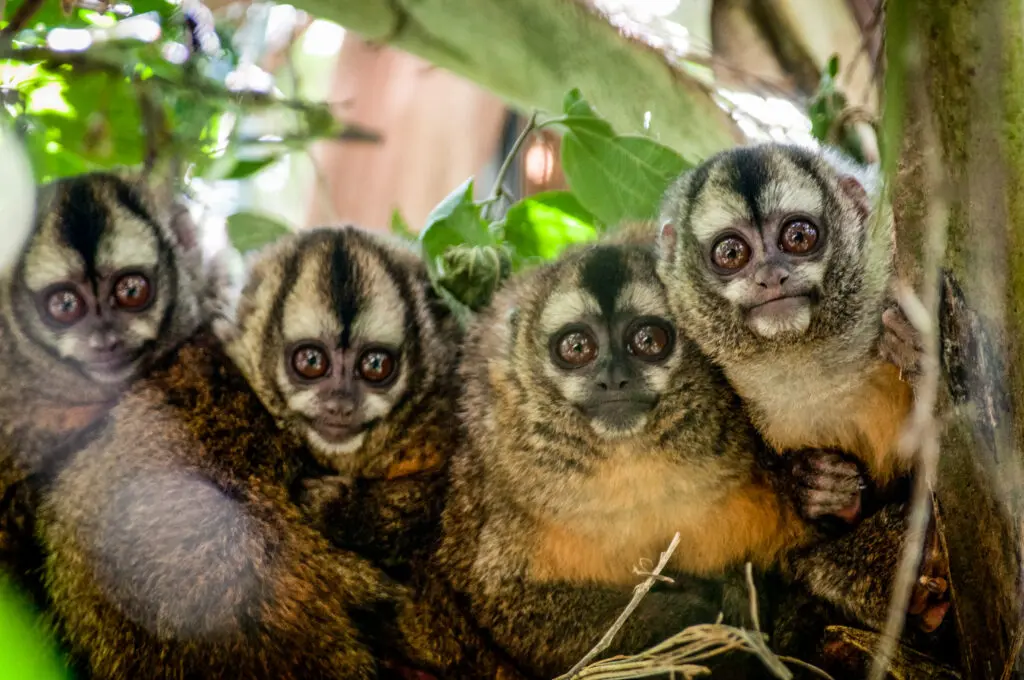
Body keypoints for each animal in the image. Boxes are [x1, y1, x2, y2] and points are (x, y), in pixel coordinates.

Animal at [435, 241, 867, 679]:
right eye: (577, 348)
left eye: (648, 340)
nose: (613, 379)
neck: (632, 457)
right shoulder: (502, 482)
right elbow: (503, 600)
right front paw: (699, 614)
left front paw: (819, 488)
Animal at [656, 142, 950, 635]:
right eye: (731, 252)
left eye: (798, 236)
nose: (771, 275)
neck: (813, 358)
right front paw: (822, 488)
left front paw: (911, 345)